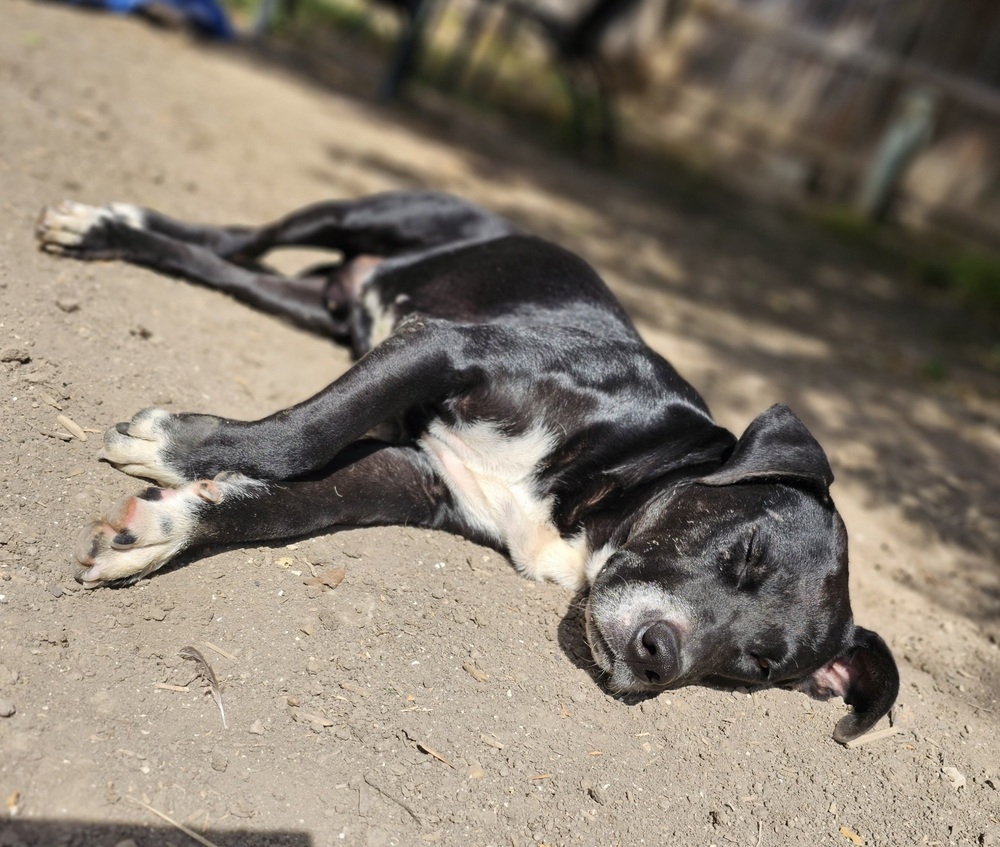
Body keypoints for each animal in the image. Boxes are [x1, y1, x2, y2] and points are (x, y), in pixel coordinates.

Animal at [37, 190, 900, 744]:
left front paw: (163, 528)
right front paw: (177, 447)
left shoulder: (412, 476)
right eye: (745, 553)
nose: (660, 656)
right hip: (368, 212)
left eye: (758, 666)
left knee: (230, 267)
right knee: (234, 236)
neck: (622, 480)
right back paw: (106, 227)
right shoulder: (443, 346)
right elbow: (305, 433)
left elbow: (289, 505)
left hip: (311, 301)